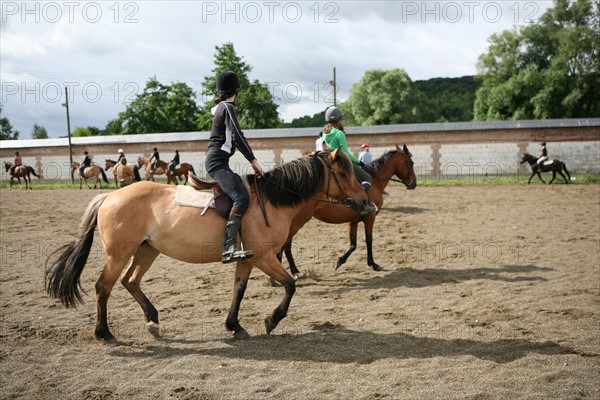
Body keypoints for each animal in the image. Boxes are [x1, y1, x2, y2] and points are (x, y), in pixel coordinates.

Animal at [44, 148, 368, 342]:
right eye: (343, 173)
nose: (365, 201)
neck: (272, 199)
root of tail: (110, 196)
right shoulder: (264, 256)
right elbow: (290, 285)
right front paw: (271, 320)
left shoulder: (248, 258)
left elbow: (239, 290)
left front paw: (234, 325)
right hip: (119, 252)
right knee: (104, 286)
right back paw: (104, 332)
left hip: (148, 249)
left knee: (130, 281)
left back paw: (153, 321)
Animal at [282, 145, 418, 278]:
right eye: (411, 163)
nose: (414, 184)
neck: (375, 180)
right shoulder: (370, 217)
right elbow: (369, 240)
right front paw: (373, 264)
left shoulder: (353, 221)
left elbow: (353, 244)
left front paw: (339, 261)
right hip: (297, 222)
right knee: (286, 245)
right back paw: (295, 271)